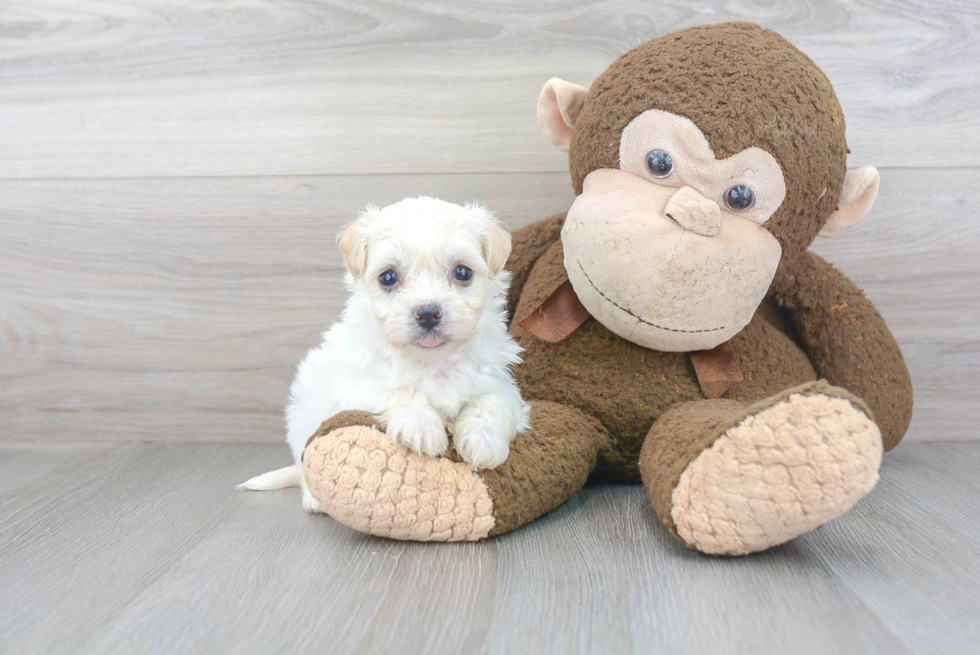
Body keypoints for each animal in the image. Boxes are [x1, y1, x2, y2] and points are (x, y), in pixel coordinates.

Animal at [237, 197, 528, 516]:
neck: (432, 362)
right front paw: (422, 427)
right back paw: (313, 498)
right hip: (303, 417)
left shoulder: (500, 383)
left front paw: (483, 441)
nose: (428, 313)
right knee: (303, 464)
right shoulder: (360, 382)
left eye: (463, 272)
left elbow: (490, 403)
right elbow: (398, 391)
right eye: (388, 277)